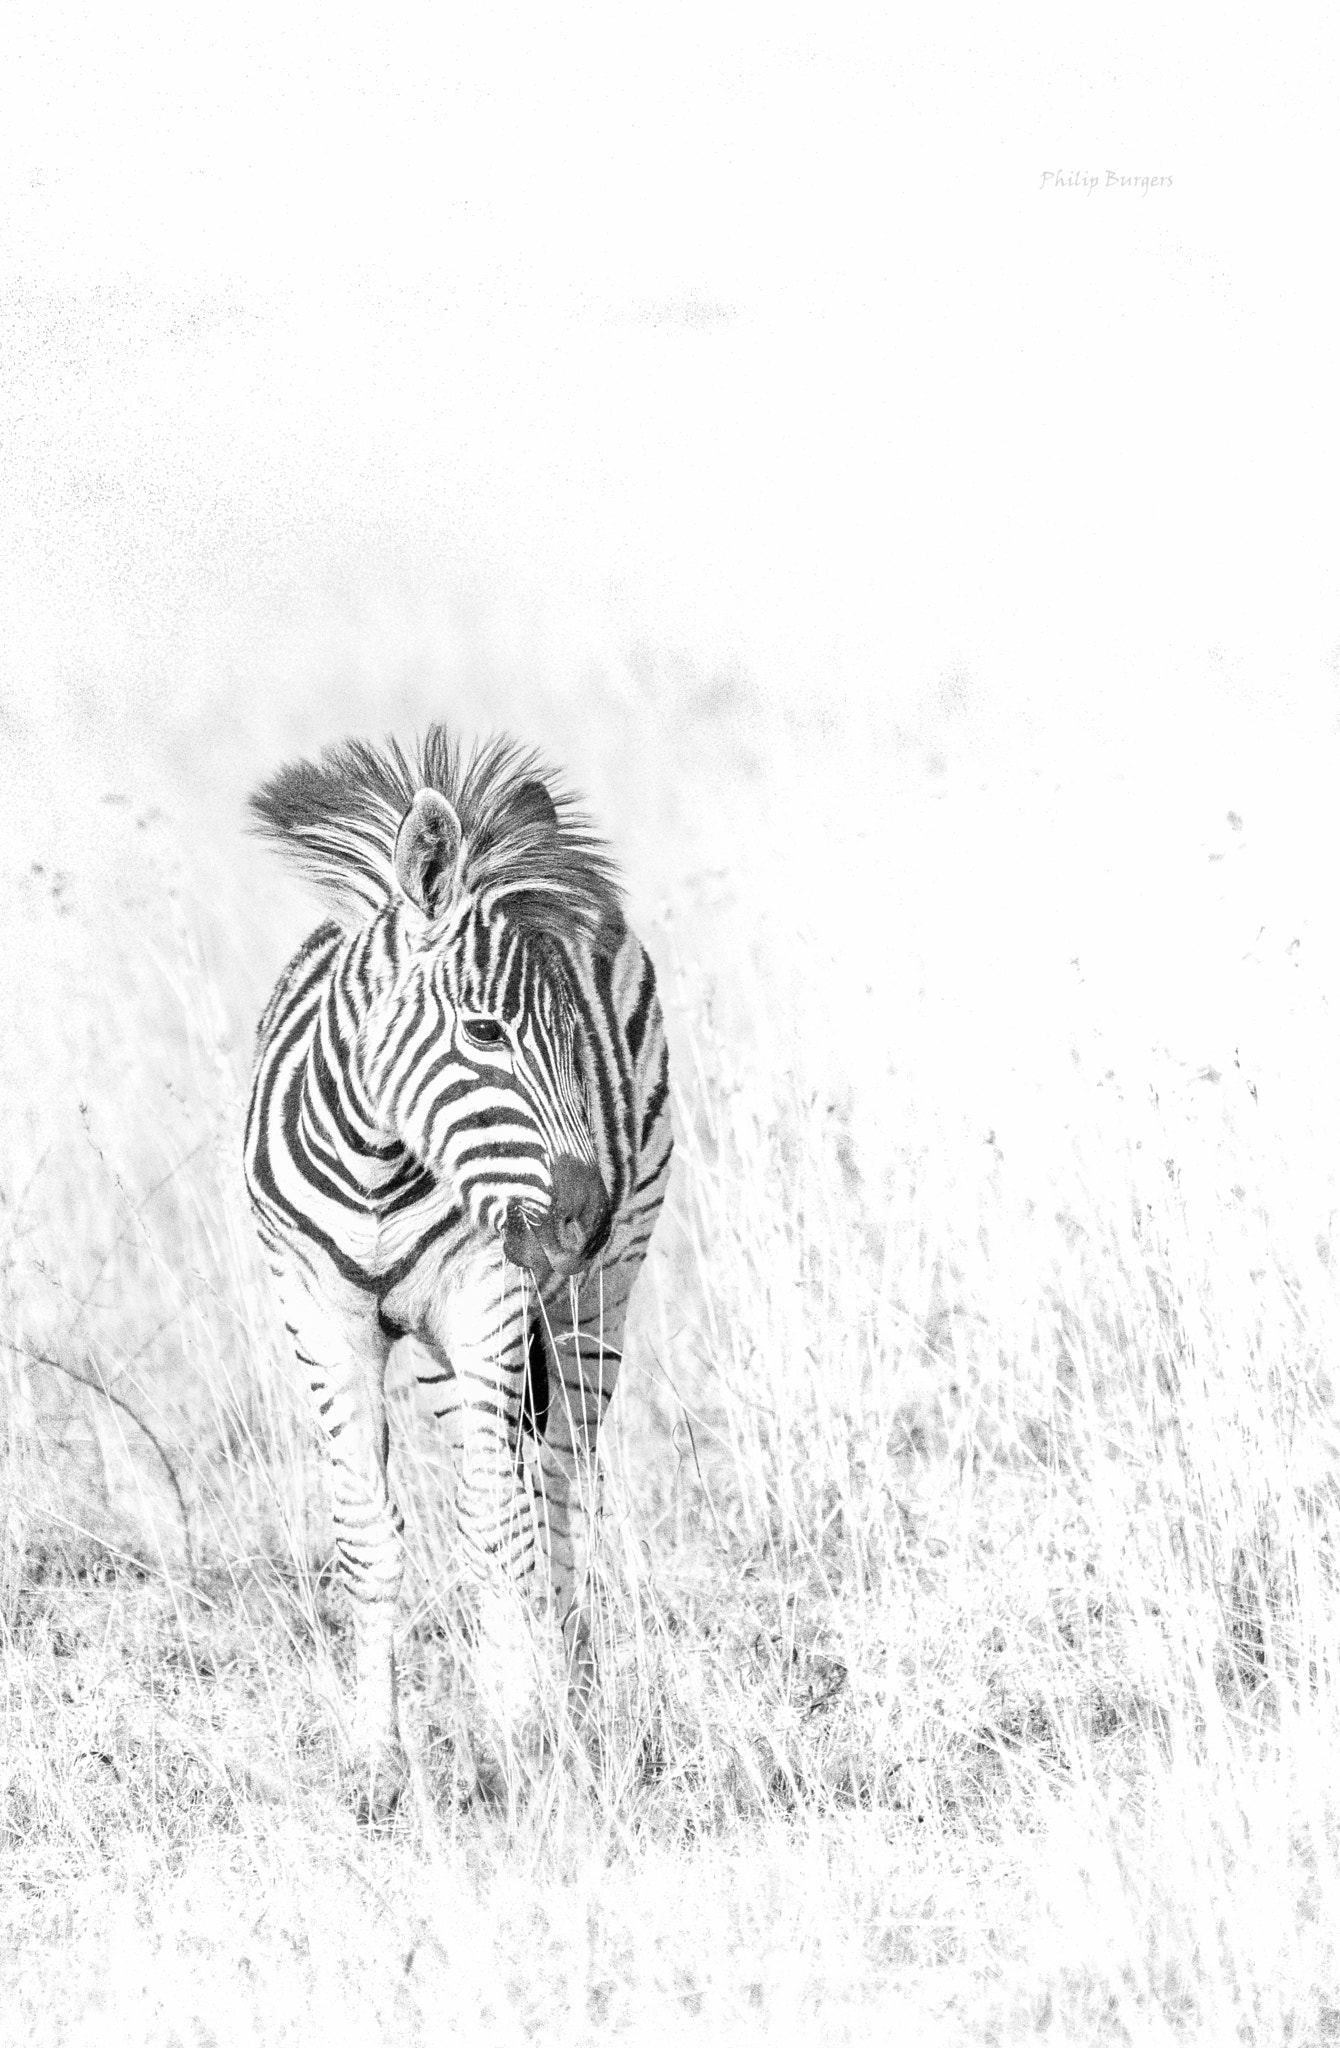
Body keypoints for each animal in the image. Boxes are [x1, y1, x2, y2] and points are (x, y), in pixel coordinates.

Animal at [243, 727, 673, 1819]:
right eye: (484, 1032)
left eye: (573, 1038)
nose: (583, 1217)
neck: (378, 1164)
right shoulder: (319, 1314)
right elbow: (369, 1537)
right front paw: (374, 1765)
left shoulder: (488, 1300)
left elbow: (503, 1533)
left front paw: (521, 1746)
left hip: (592, 1305)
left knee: (553, 1496)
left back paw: (565, 1694)